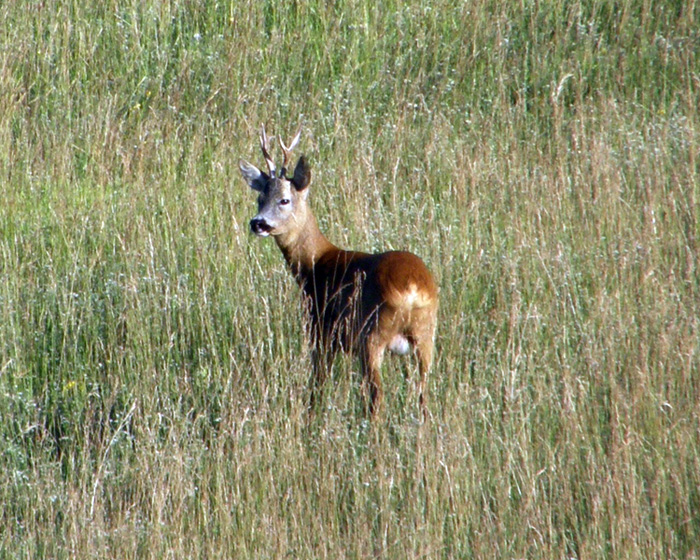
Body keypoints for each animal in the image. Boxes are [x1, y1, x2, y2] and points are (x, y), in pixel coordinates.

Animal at [241, 126, 438, 416]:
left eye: (284, 200)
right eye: (259, 198)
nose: (258, 223)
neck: (314, 265)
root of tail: (413, 288)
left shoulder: (320, 328)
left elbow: (318, 383)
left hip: (371, 335)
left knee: (377, 397)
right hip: (425, 334)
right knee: (424, 396)